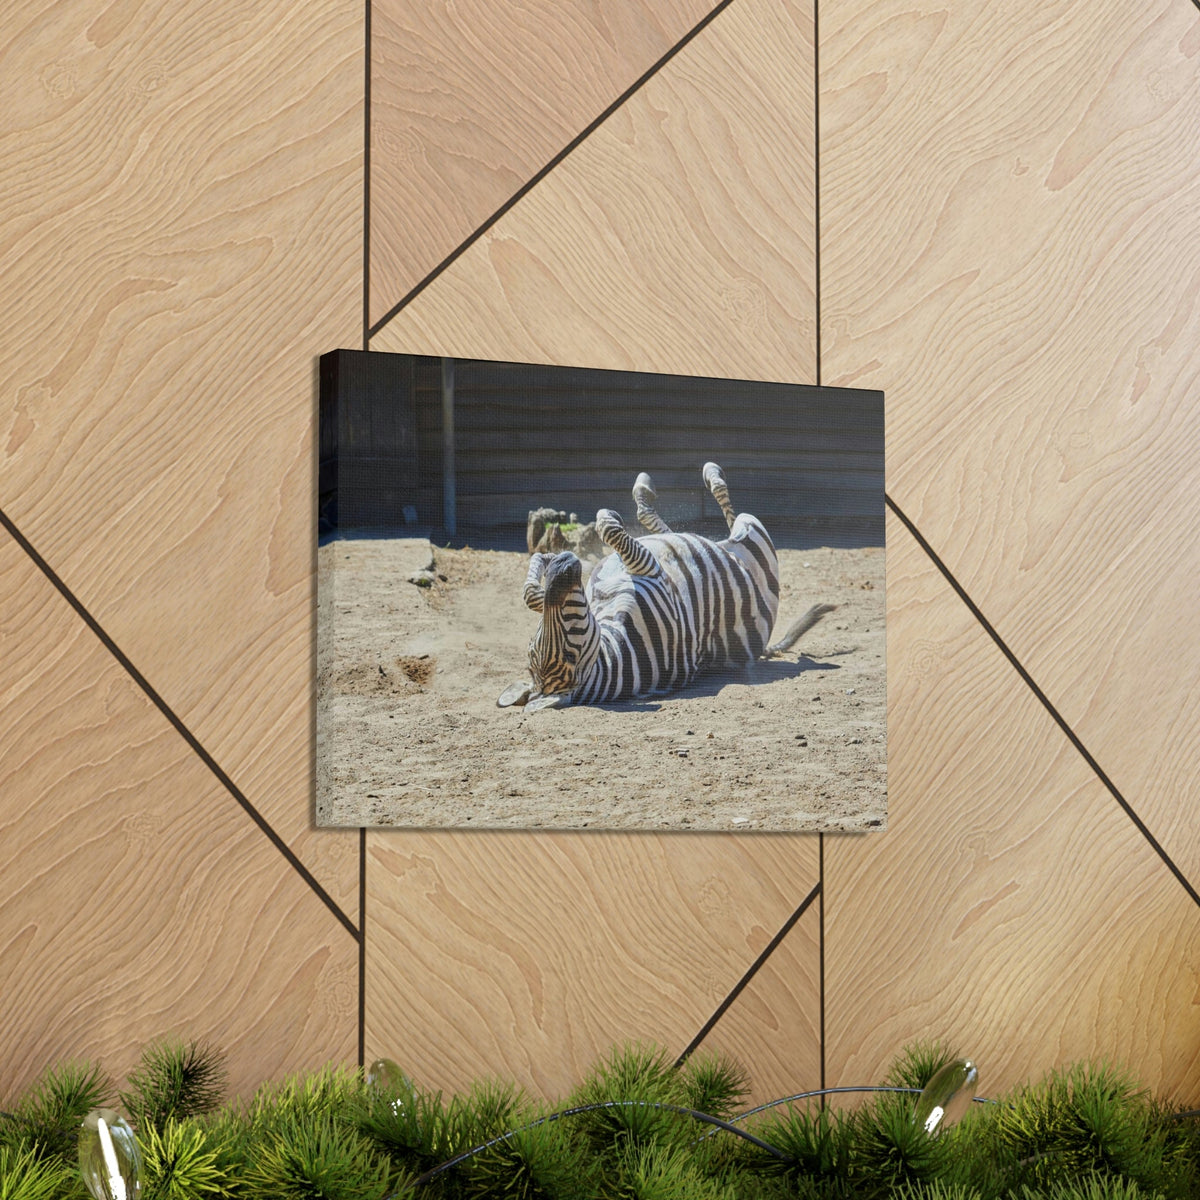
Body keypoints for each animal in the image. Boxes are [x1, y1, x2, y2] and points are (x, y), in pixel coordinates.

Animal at [498, 462, 835, 711]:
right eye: (568, 653)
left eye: (536, 639)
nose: (565, 564)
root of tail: (762, 645)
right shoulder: (651, 571)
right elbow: (607, 527)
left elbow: (532, 595)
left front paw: (542, 561)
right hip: (755, 538)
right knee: (728, 517)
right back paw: (710, 474)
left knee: (665, 525)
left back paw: (648, 486)